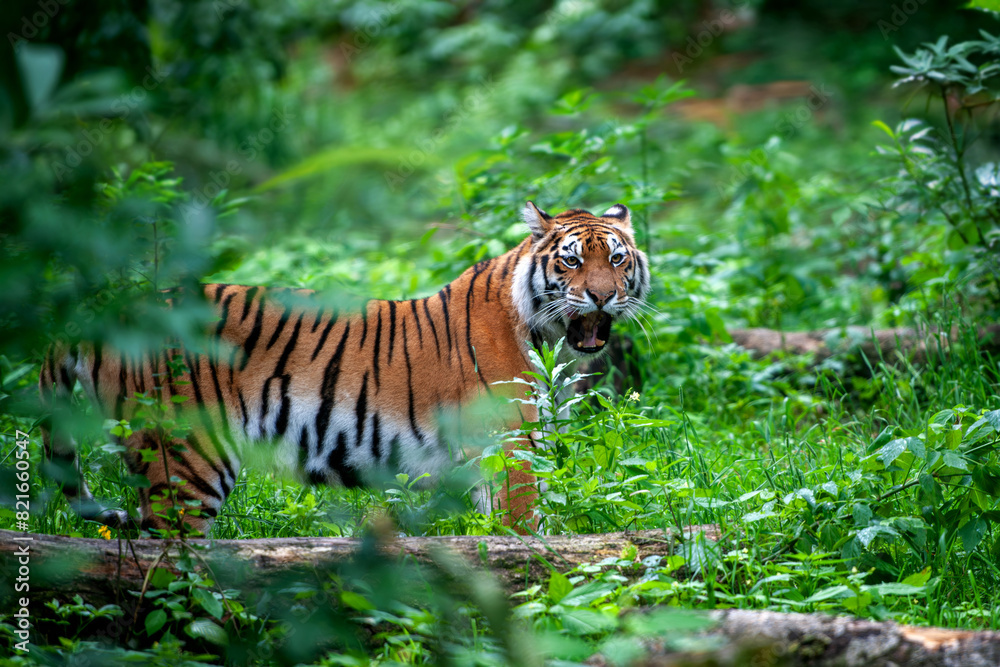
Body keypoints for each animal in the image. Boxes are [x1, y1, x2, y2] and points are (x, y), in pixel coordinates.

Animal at [37, 201, 648, 536]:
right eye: (571, 260)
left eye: (617, 259)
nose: (601, 296)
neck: (551, 343)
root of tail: (106, 312)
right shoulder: (510, 446)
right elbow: (524, 530)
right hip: (186, 460)